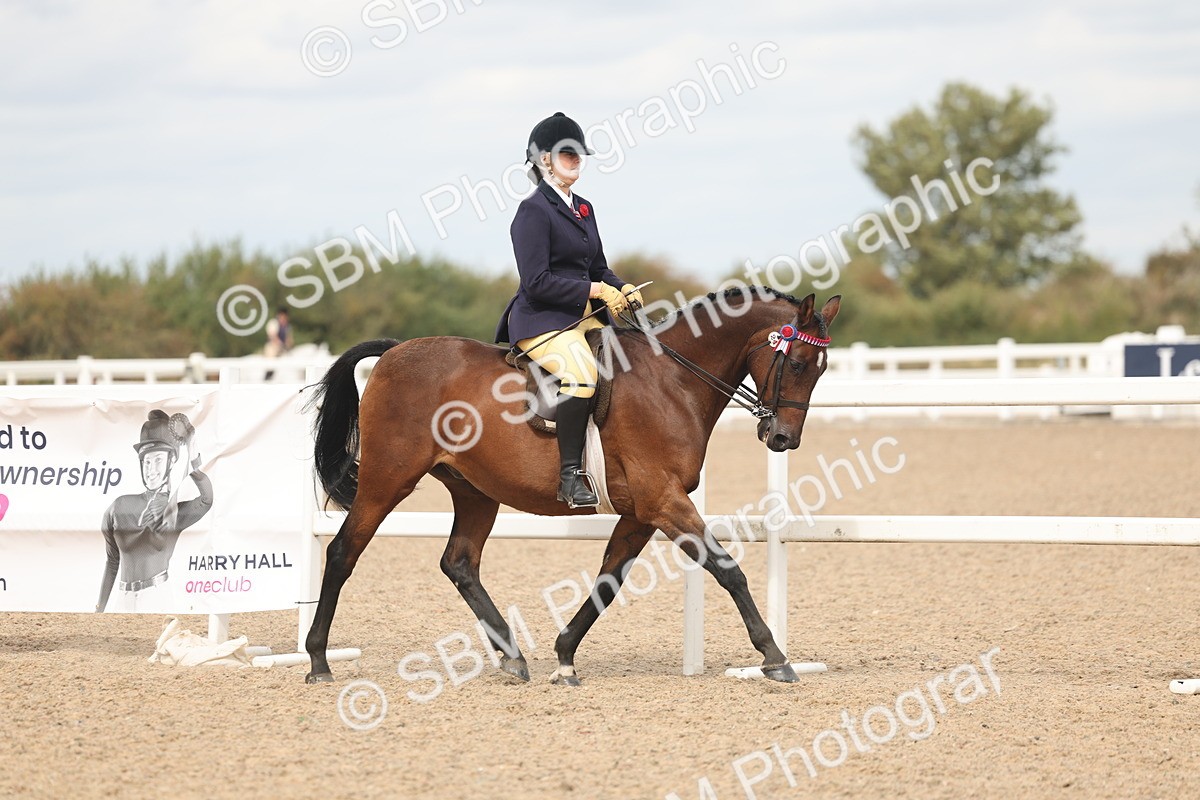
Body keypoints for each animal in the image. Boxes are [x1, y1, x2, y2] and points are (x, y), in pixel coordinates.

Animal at [304, 286, 842, 685]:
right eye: (796, 364)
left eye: (821, 370)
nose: (783, 438)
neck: (673, 381)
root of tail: (395, 351)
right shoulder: (663, 499)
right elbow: (727, 569)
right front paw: (774, 657)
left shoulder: (641, 510)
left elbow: (610, 578)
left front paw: (564, 656)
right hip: (387, 479)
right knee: (343, 553)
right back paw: (318, 661)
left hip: (475, 491)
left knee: (459, 563)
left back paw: (513, 656)